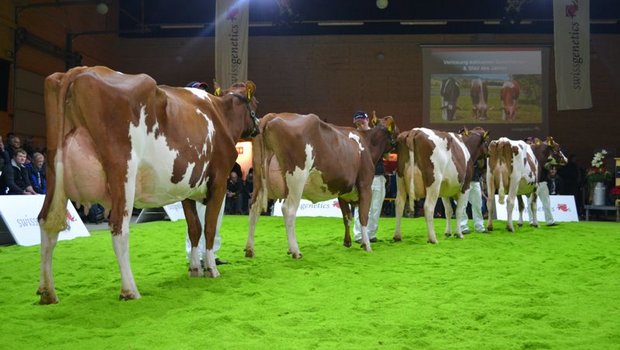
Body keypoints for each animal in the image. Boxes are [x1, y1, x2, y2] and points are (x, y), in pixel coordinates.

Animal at [36, 66, 260, 304]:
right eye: (255, 103)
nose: (258, 127)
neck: (221, 116)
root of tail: (81, 70)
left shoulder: (188, 189)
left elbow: (194, 229)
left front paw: (194, 269)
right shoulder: (219, 182)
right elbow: (209, 227)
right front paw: (211, 269)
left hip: (54, 171)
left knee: (48, 222)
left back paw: (47, 291)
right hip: (123, 172)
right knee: (119, 228)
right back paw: (130, 290)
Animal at [243, 113, 398, 258]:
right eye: (395, 130)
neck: (367, 144)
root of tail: (273, 116)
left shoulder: (342, 191)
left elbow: (347, 217)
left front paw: (347, 242)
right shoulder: (365, 185)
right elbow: (363, 216)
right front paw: (367, 245)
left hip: (259, 179)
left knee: (254, 207)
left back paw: (250, 249)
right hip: (297, 178)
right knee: (288, 210)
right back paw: (295, 251)